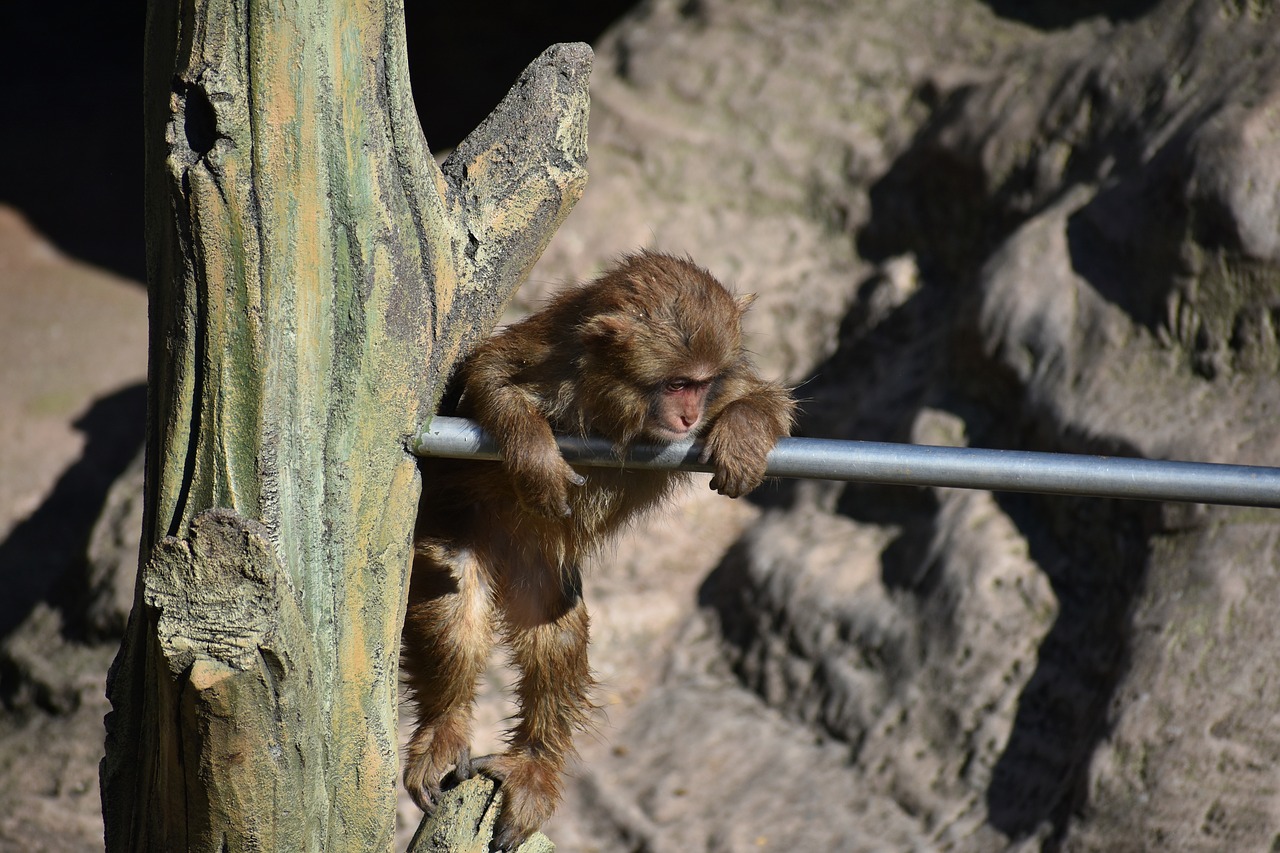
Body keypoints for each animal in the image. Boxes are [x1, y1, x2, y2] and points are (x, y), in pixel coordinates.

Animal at [404, 249, 793, 845]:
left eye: (701, 384)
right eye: (676, 384)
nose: (689, 416)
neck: (612, 399)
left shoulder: (719, 393)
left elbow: (764, 397)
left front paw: (745, 436)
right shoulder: (550, 354)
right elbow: (488, 378)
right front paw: (534, 454)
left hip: (533, 561)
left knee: (554, 624)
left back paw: (534, 764)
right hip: (459, 520)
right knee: (453, 593)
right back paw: (444, 729)